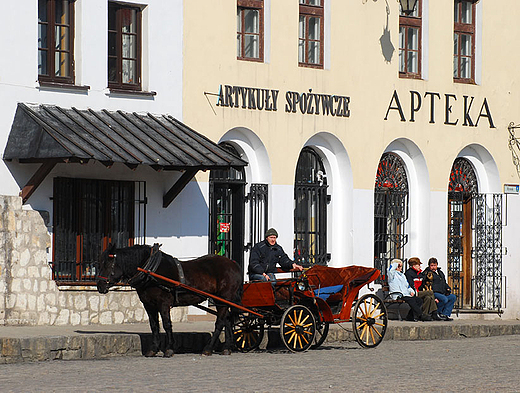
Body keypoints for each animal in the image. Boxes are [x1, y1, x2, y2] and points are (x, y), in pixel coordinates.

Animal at [96, 242, 243, 356]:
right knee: (227, 320)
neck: (150, 270)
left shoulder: (163, 303)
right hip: (222, 301)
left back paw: (208, 349)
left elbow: (167, 324)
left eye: (107, 264)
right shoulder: (148, 304)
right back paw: (226, 348)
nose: (100, 286)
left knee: (220, 322)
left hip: (223, 298)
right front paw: (154, 349)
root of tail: (234, 264)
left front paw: (169, 348)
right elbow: (154, 326)